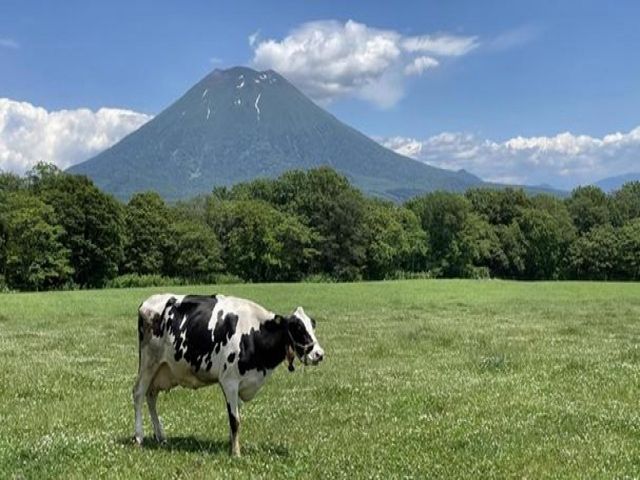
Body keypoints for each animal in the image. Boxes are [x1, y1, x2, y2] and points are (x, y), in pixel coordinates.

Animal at [134, 294, 324, 456]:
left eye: (312, 324)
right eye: (297, 327)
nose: (319, 354)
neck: (254, 333)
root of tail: (147, 302)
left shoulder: (242, 383)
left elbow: (235, 416)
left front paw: (231, 445)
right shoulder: (230, 381)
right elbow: (235, 419)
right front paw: (236, 453)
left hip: (162, 370)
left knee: (151, 396)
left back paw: (161, 436)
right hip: (148, 363)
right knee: (139, 393)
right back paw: (139, 437)